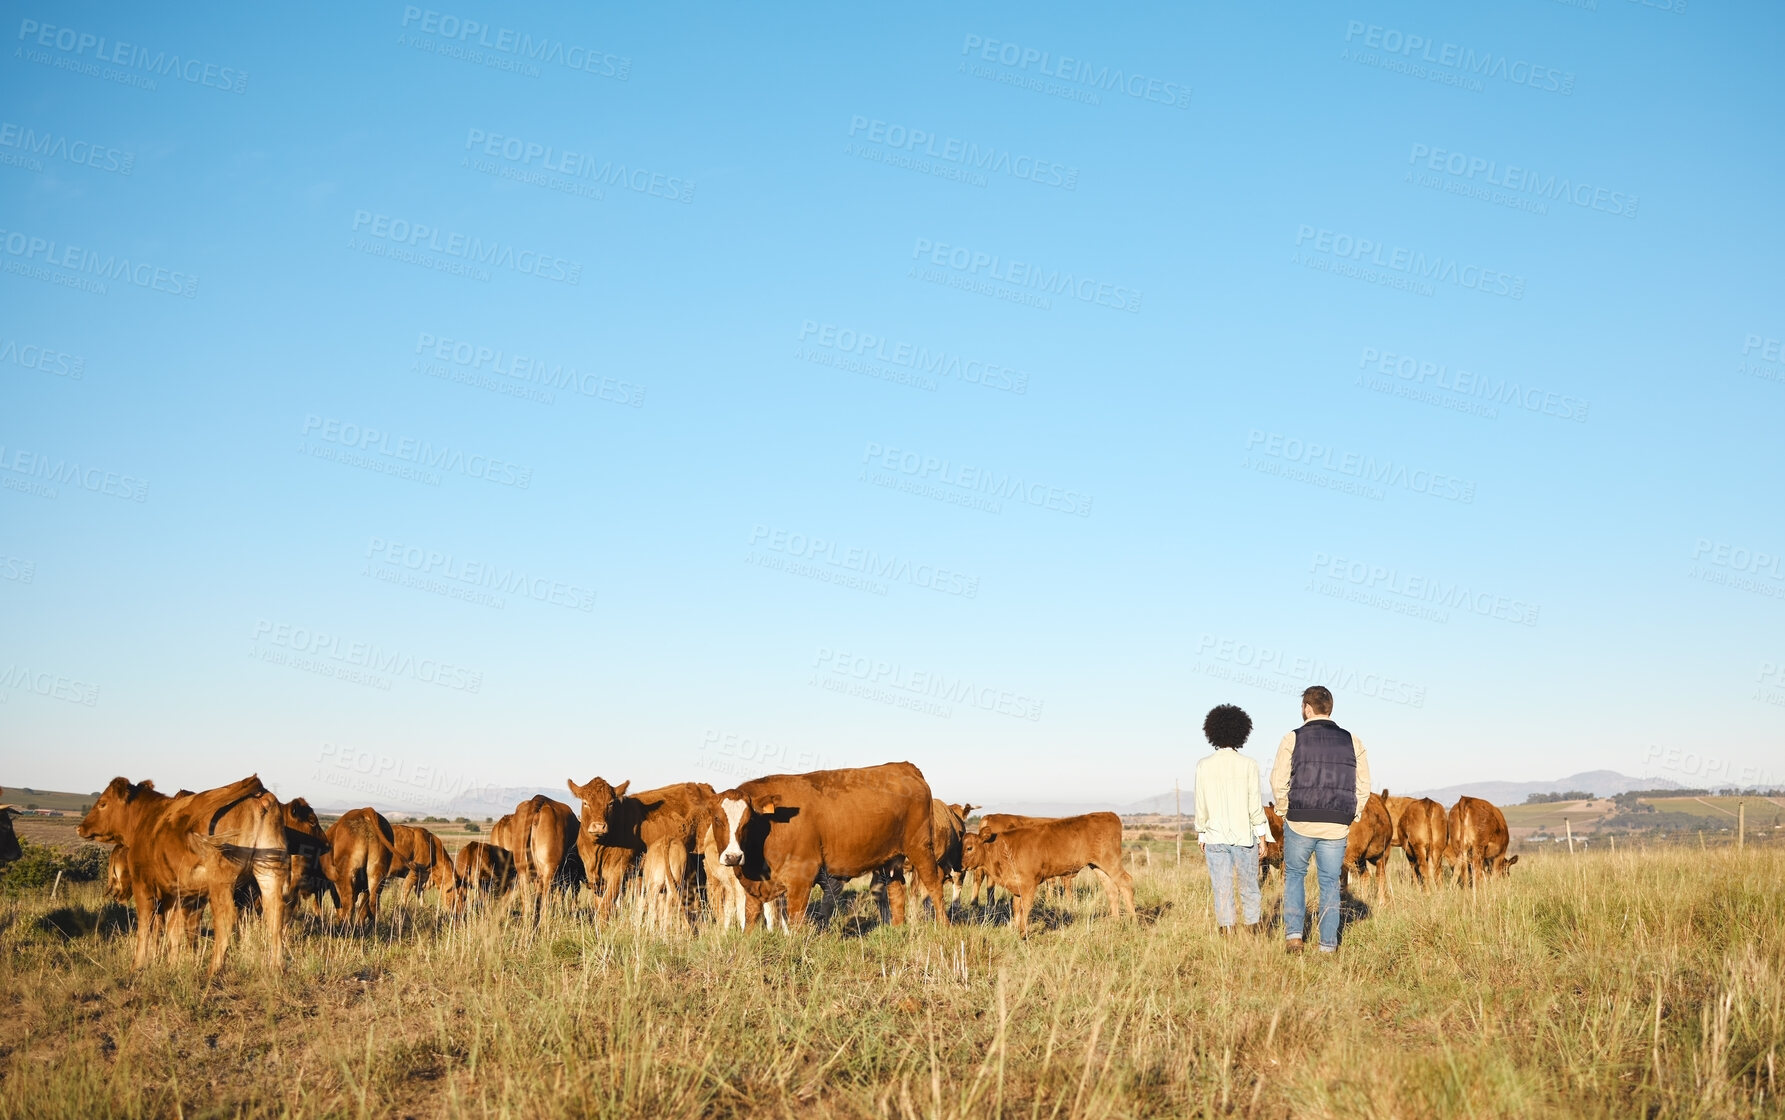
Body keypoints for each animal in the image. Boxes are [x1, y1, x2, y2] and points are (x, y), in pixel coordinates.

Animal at [717, 757, 956, 936]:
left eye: (748, 820)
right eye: (717, 818)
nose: (733, 857)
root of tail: (904, 766)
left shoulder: (802, 876)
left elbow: (795, 919)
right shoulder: (754, 884)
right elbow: (751, 916)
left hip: (920, 848)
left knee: (934, 885)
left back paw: (944, 926)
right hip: (891, 858)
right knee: (896, 891)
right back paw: (897, 930)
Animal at [963, 814, 1128, 936]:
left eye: (969, 848)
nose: (960, 865)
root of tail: (1109, 815)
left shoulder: (1030, 884)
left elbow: (1026, 906)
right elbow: (1018, 907)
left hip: (1110, 863)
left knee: (1125, 882)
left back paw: (1130, 919)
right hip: (1099, 866)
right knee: (1112, 889)